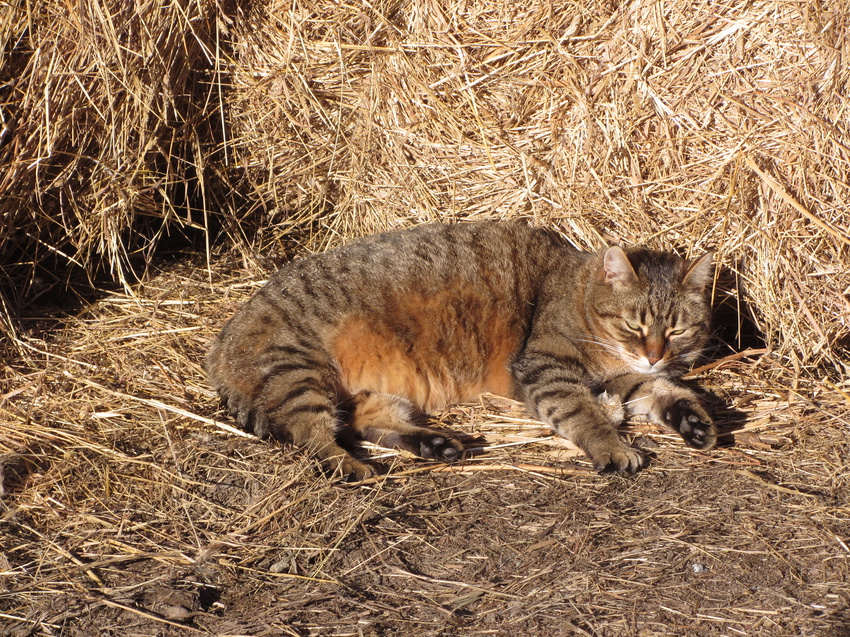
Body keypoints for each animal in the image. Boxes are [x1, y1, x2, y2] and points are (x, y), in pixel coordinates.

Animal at [207, 221, 716, 480]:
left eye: (677, 331)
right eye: (635, 326)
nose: (654, 354)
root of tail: (221, 340)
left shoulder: (623, 376)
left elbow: (662, 391)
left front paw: (692, 418)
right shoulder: (545, 368)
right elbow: (584, 413)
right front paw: (611, 445)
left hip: (361, 393)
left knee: (366, 422)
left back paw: (435, 443)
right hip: (297, 372)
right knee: (312, 436)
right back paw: (351, 466)